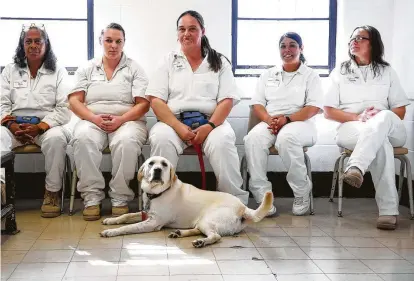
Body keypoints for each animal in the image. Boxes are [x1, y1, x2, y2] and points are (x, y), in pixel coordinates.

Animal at [100, 155, 274, 247]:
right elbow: (126, 216)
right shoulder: (146, 213)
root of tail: (243, 208)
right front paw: (110, 220)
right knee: (200, 229)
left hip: (208, 219)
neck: (158, 193)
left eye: (164, 164)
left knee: (215, 236)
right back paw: (179, 233)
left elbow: (128, 227)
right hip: (202, 222)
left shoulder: (152, 223)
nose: (157, 170)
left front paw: (111, 232)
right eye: (151, 163)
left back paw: (201, 242)